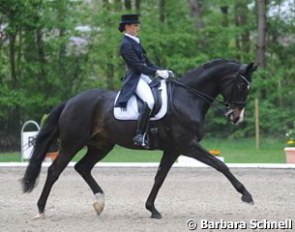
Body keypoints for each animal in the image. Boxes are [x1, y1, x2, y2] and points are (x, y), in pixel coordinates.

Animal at [23, 58, 258, 219]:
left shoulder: (173, 149)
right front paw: (246, 195)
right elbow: (220, 165)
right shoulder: (188, 145)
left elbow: (159, 177)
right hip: (72, 143)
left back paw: (100, 203)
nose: (237, 117)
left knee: (83, 167)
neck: (188, 97)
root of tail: (70, 101)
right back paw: (41, 209)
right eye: (240, 86)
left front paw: (152, 209)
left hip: (101, 145)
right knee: (55, 171)